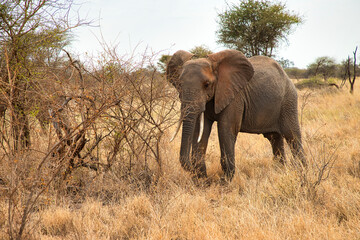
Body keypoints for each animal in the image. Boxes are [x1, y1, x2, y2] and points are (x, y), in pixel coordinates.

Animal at [167, 49, 306, 181]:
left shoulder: (235, 97)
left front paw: (223, 183)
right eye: (179, 84)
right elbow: (200, 130)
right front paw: (202, 182)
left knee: (292, 136)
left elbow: (226, 129)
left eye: (207, 84)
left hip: (288, 101)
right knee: (275, 138)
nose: (208, 179)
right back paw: (280, 172)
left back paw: (302, 173)